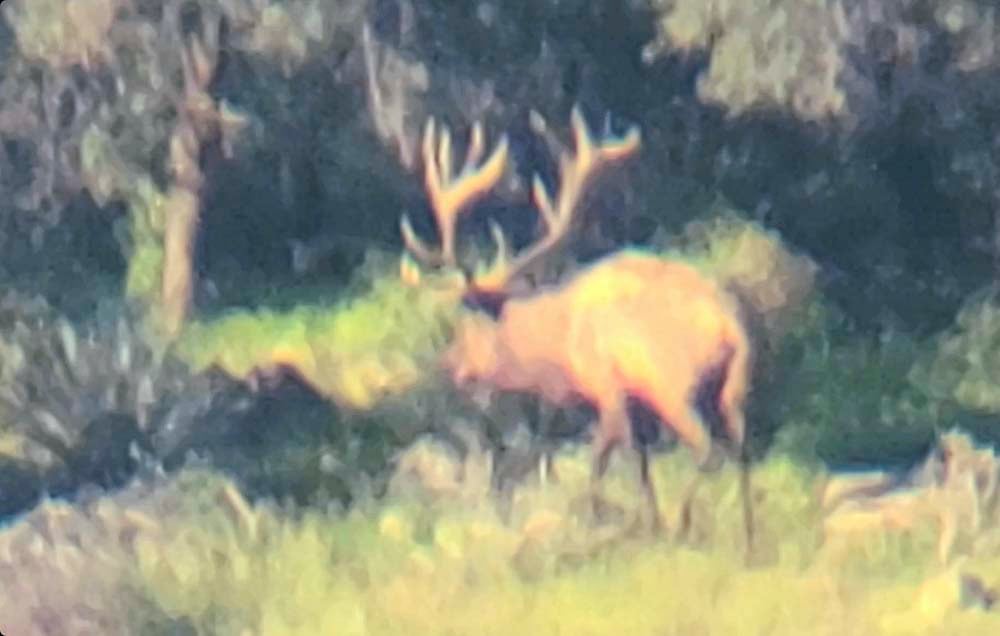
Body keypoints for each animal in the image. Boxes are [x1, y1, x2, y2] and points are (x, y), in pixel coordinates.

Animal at [399, 105, 755, 552]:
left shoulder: (608, 386)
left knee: (708, 449)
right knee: (742, 452)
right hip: (732, 389)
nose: (449, 366)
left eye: (466, 327)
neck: (560, 348)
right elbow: (640, 466)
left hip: (675, 385)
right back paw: (749, 541)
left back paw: (685, 524)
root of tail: (728, 326)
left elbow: (601, 462)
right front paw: (648, 522)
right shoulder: (632, 401)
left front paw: (610, 523)